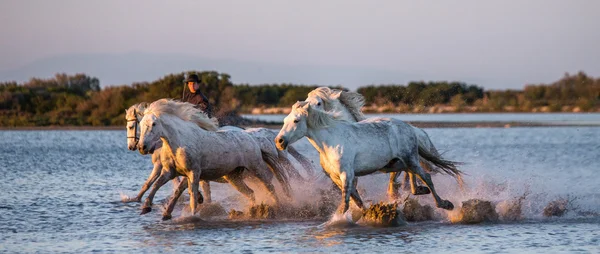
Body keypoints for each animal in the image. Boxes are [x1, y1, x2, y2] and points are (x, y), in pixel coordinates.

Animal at [139, 99, 290, 216]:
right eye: (140, 125)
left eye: (153, 124)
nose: (142, 147)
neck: (179, 142)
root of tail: (253, 140)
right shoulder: (169, 171)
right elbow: (157, 185)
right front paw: (148, 208)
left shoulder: (194, 173)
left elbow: (192, 196)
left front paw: (192, 216)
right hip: (234, 177)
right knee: (251, 193)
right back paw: (252, 210)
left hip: (257, 168)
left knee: (270, 186)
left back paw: (278, 207)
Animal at [276, 101, 460, 214]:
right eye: (284, 120)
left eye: (296, 120)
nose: (279, 141)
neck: (329, 143)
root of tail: (410, 128)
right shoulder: (335, 177)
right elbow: (355, 199)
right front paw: (366, 214)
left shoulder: (347, 174)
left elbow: (345, 203)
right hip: (395, 164)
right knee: (412, 177)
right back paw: (421, 191)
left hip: (409, 159)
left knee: (426, 176)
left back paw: (445, 204)